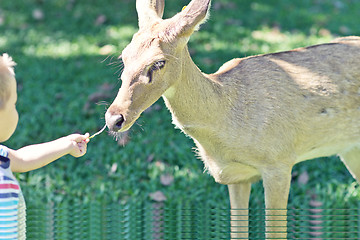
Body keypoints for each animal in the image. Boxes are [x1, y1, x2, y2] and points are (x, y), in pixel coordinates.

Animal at [104, 0, 360, 238]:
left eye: (159, 62)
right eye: (124, 56)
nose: (114, 118)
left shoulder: (280, 162)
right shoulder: (237, 177)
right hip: (349, 150)